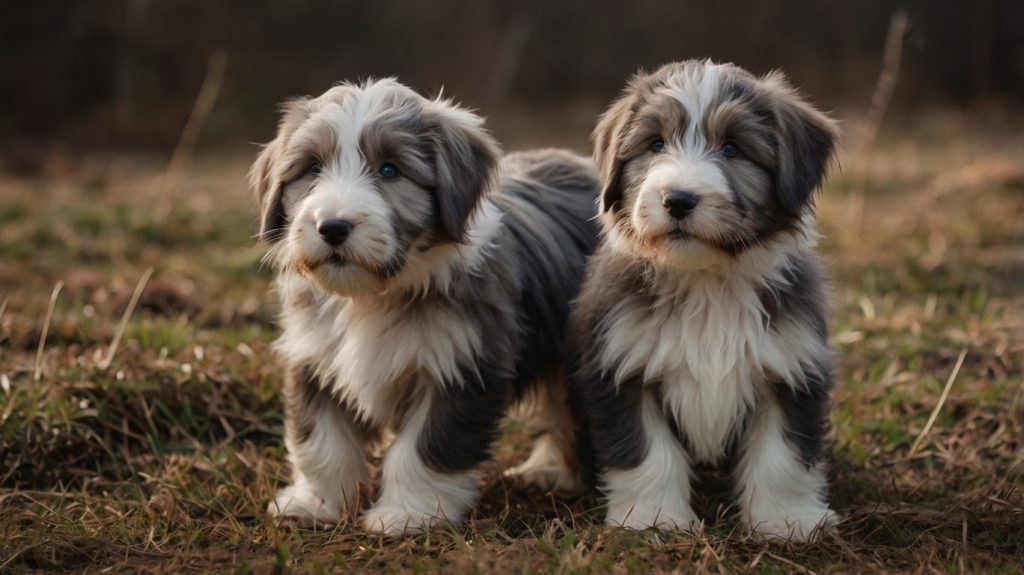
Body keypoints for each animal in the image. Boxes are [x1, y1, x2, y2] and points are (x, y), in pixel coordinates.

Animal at [249, 77, 598, 532]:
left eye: (389, 170)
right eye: (312, 168)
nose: (333, 227)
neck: (374, 295)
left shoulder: (460, 362)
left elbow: (424, 448)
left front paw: (406, 515)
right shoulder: (313, 357)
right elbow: (321, 441)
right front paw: (314, 504)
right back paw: (549, 469)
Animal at [569, 60, 839, 540]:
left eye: (732, 149)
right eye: (656, 144)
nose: (677, 199)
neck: (706, 281)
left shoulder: (792, 366)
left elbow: (782, 456)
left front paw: (787, 521)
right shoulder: (622, 366)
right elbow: (647, 452)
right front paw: (654, 519)